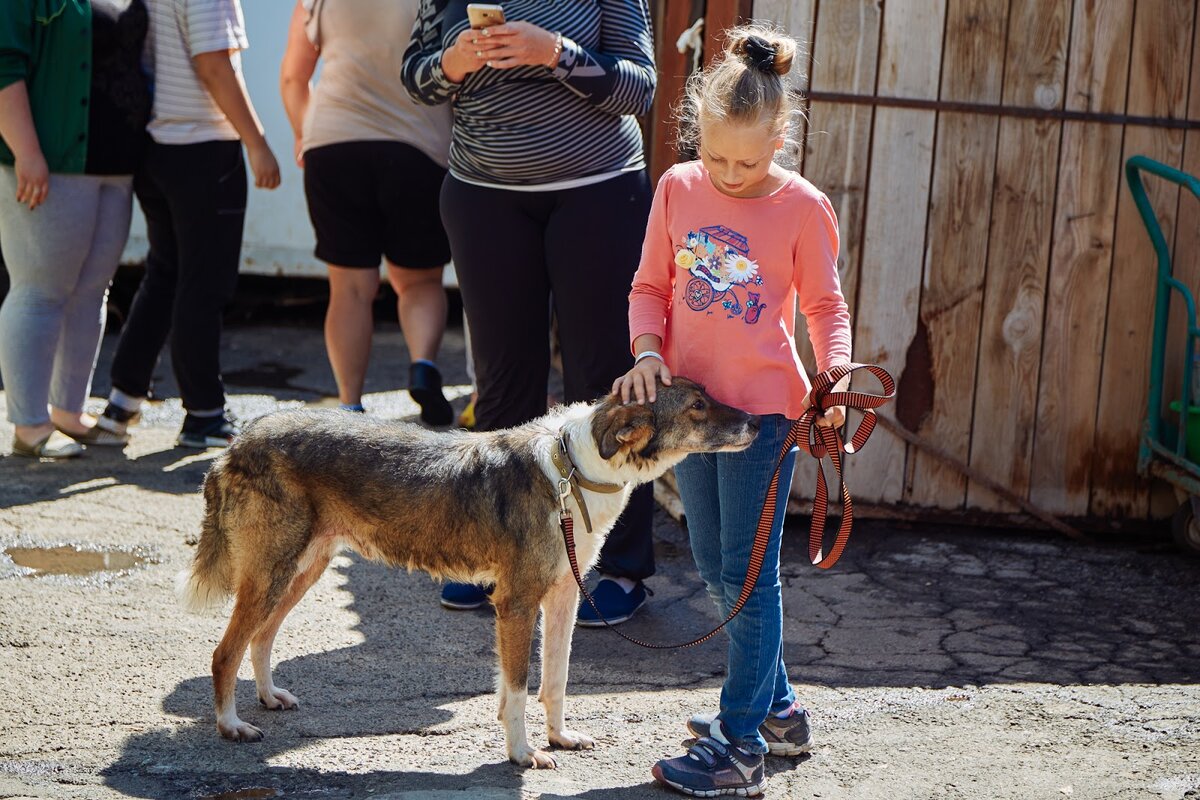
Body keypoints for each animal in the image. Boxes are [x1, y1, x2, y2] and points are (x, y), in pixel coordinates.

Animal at [175, 381, 758, 767]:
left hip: (301, 568)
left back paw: (269, 697)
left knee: (260, 638)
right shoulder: (516, 602)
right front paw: (523, 754)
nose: (756, 422)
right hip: (272, 571)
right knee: (225, 651)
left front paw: (559, 737)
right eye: (697, 407)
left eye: (707, 395)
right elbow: (519, 687)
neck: (574, 471)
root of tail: (241, 441)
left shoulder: (563, 597)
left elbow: (555, 678)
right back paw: (231, 726)